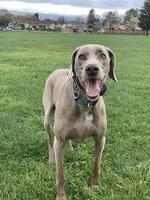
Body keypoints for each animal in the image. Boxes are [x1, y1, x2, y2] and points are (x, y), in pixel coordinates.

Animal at [42, 44, 117, 200]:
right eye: (81, 56)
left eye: (103, 55)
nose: (92, 69)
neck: (85, 102)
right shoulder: (59, 140)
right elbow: (60, 173)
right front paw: (61, 195)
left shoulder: (101, 138)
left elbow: (96, 165)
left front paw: (95, 186)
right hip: (47, 118)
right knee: (50, 140)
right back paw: (51, 159)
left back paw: (70, 148)